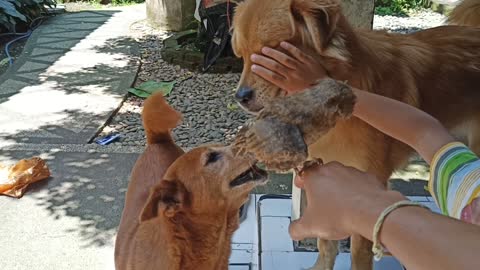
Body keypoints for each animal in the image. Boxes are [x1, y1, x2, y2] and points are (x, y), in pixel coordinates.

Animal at [231, 0, 478, 268]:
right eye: (241, 56)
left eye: (270, 53)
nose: (240, 98)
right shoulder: (324, 170)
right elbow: (326, 242)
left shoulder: (369, 181)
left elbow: (360, 249)